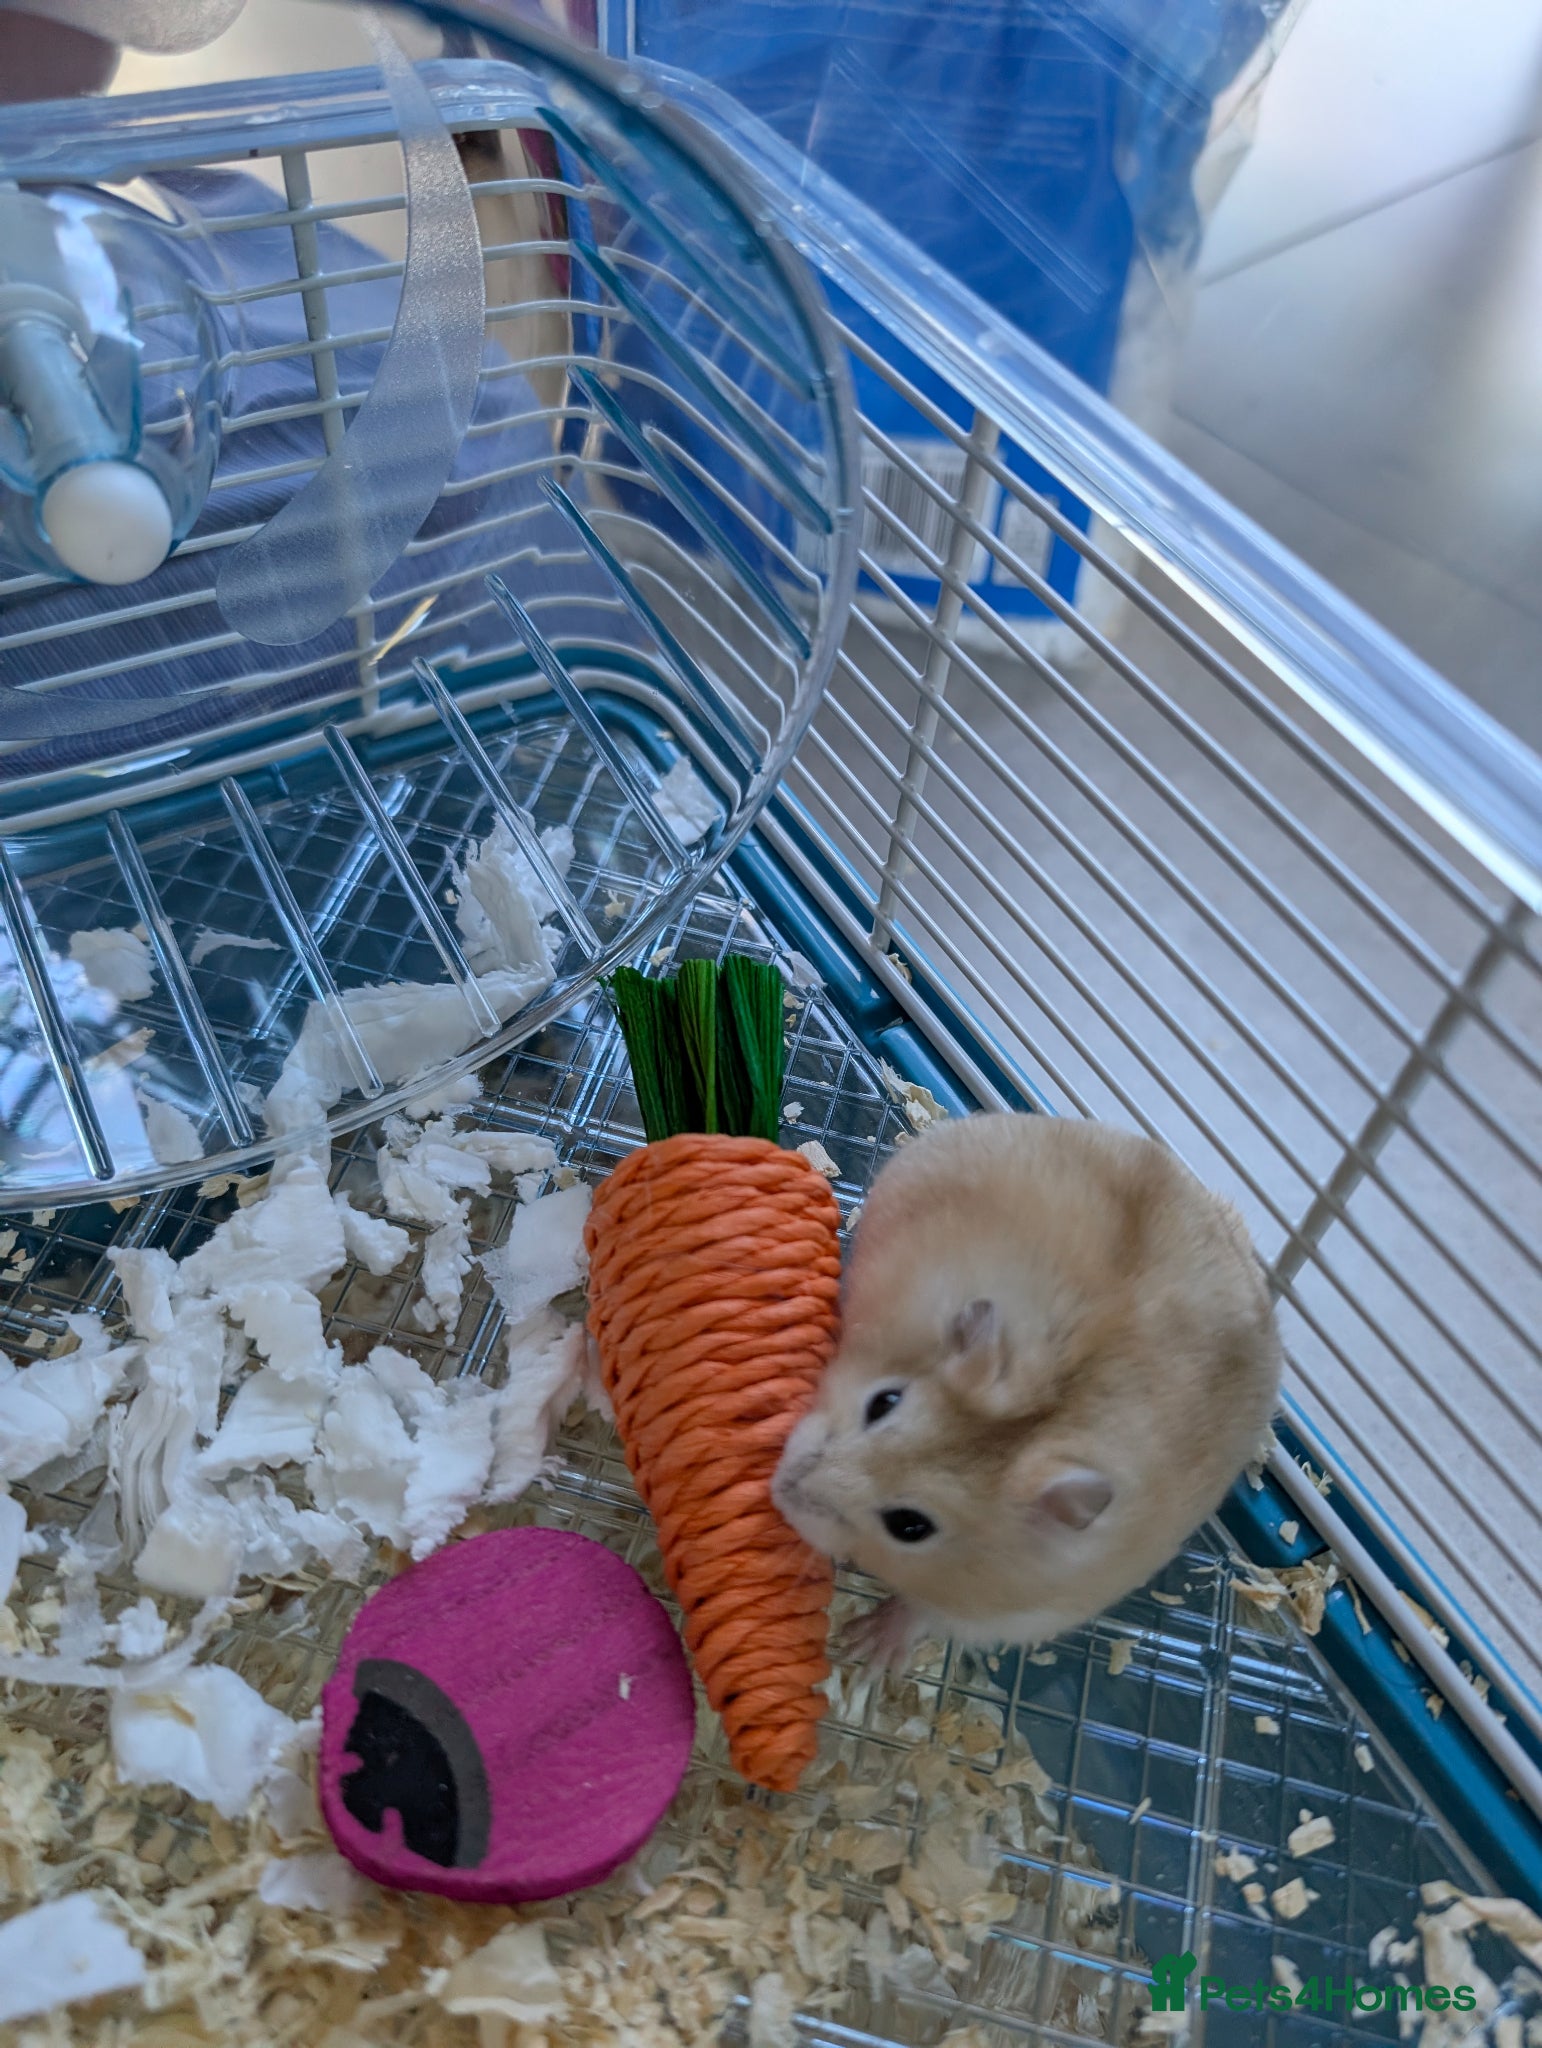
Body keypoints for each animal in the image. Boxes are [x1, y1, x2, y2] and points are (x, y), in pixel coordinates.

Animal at [773, 1113, 1280, 1665]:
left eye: (910, 1526)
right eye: (882, 1402)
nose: (780, 1487)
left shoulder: (1023, 1610)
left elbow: (928, 1612)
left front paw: (865, 1650)